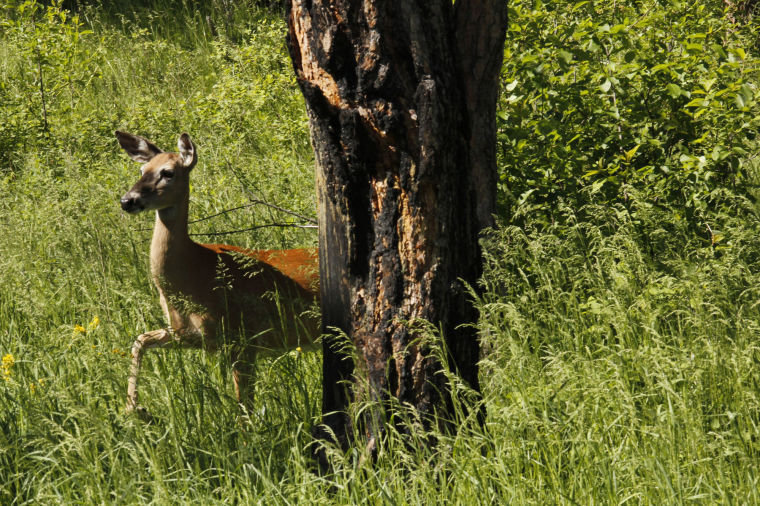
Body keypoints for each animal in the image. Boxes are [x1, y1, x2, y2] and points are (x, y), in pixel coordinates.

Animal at [116, 131, 319, 419]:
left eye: (168, 173)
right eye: (143, 170)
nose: (127, 200)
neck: (194, 269)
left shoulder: (242, 337)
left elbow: (244, 406)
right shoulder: (187, 333)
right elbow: (140, 340)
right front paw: (134, 408)